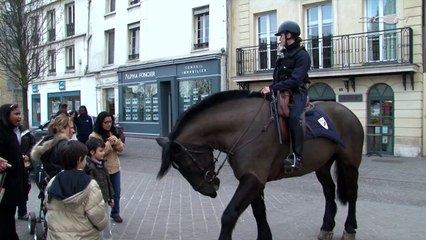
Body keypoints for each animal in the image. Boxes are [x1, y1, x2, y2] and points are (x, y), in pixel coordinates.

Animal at [156, 90, 362, 240]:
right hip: (322, 165)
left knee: (352, 194)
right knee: (329, 192)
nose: (209, 191)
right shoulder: (254, 179)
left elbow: (229, 215)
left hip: (350, 163)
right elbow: (259, 212)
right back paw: (327, 226)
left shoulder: (253, 179)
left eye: (187, 165)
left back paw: (349, 228)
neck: (243, 127)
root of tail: (347, 112)